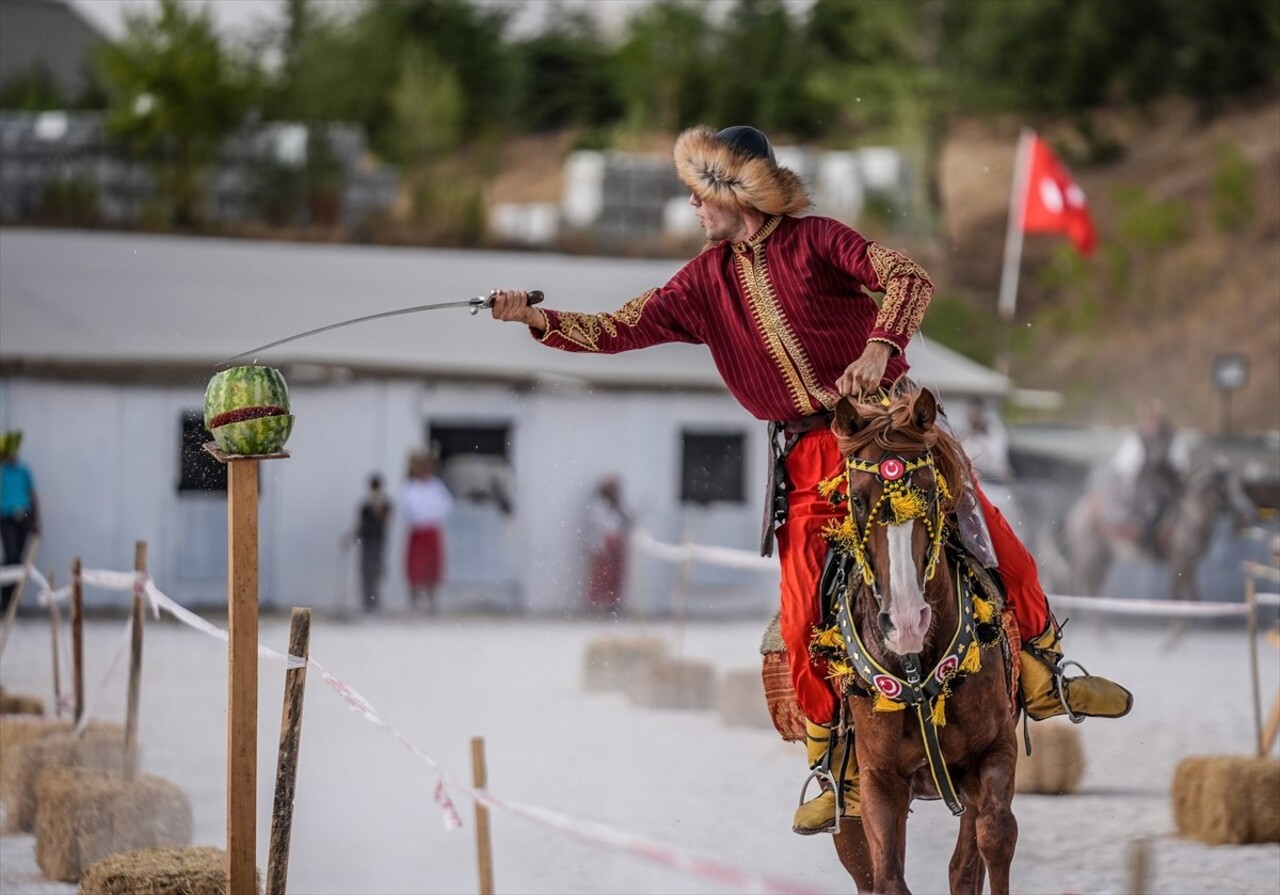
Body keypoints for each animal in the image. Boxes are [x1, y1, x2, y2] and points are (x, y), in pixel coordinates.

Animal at [824, 386, 1013, 895]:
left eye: (927, 490)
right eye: (857, 499)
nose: (907, 620)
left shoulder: (993, 753)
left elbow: (993, 836)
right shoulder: (879, 780)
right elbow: (888, 876)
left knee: (967, 862)